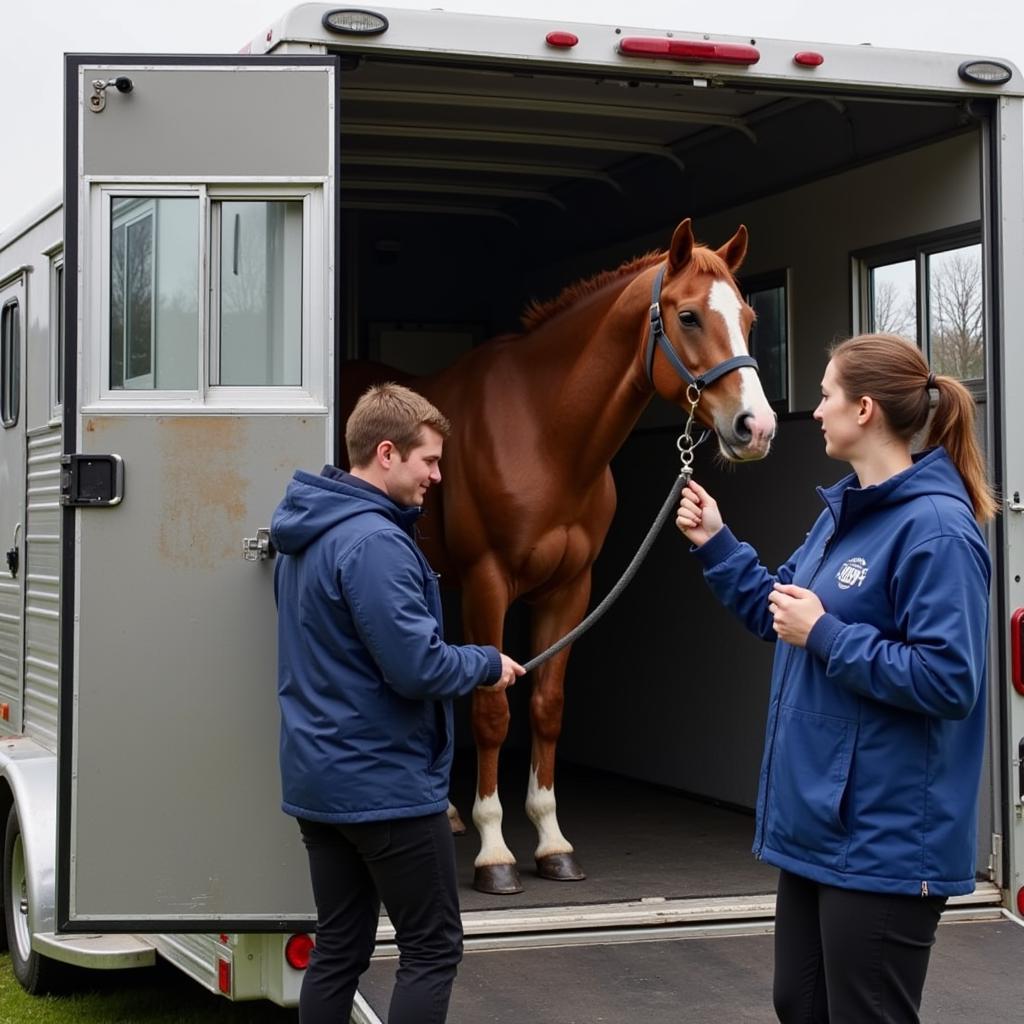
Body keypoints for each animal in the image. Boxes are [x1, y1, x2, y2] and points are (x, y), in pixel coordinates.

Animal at [339, 218, 770, 897]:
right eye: (690, 316)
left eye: (749, 317)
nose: (757, 427)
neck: (545, 433)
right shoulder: (489, 582)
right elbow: (492, 708)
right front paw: (494, 853)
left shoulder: (573, 589)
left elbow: (546, 706)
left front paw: (551, 842)